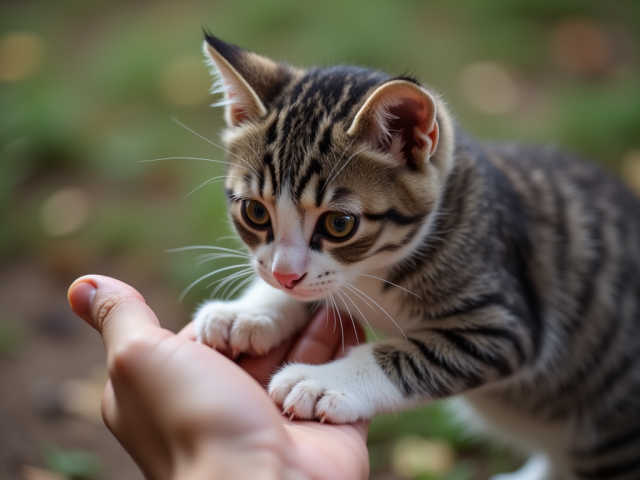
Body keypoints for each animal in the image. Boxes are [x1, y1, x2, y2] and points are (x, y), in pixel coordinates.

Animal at [192, 33, 640, 480]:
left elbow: (410, 355)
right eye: (255, 212)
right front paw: (247, 313)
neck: (374, 270)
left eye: (339, 224)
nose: (285, 275)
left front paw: (325, 383)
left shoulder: (508, 324)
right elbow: (308, 288)